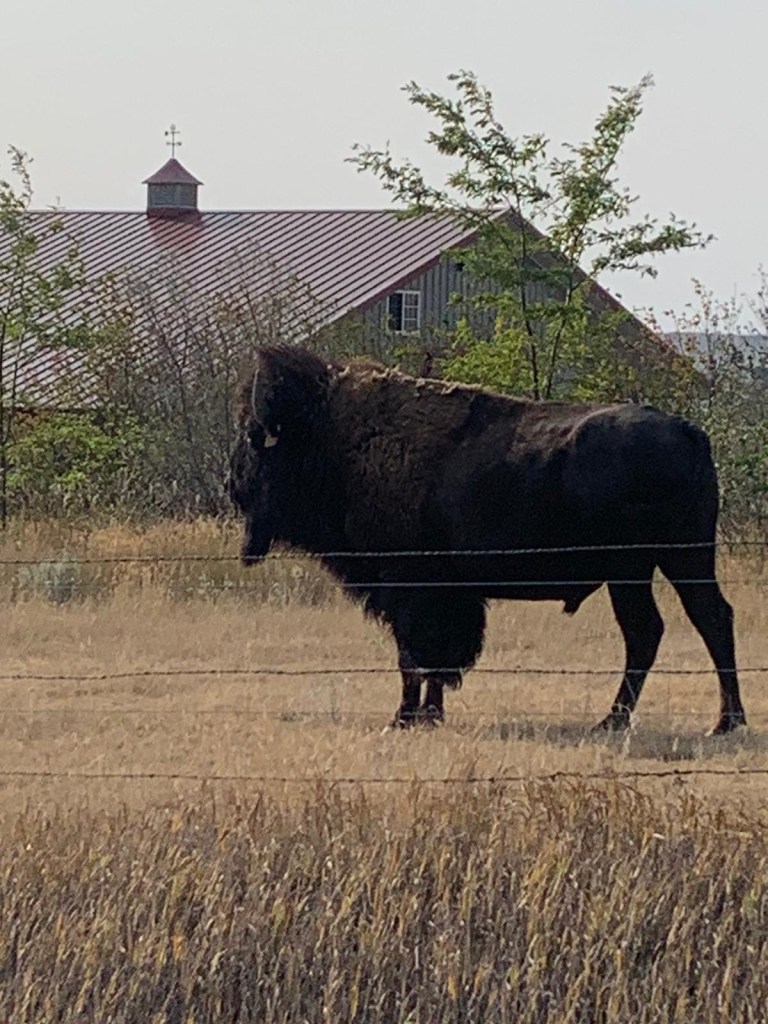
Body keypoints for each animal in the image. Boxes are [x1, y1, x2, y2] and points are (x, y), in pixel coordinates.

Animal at [228, 345, 746, 735]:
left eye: (255, 438)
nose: (234, 485)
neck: (332, 437)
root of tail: (690, 431)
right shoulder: (442, 594)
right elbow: (433, 659)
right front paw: (429, 715)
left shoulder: (407, 586)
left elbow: (415, 655)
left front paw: (404, 718)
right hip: (671, 562)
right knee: (693, 622)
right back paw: (686, 720)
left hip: (645, 566)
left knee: (666, 627)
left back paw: (680, 722)